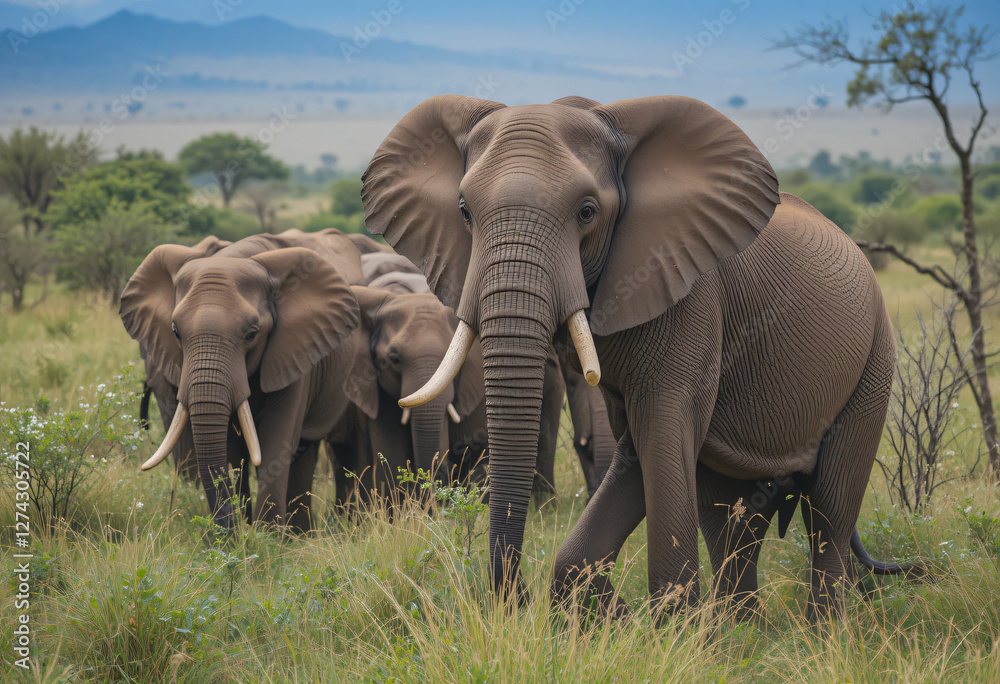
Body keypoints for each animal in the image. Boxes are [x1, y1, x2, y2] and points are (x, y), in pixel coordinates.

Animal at [121, 228, 366, 533]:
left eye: (252, 334)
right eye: (176, 332)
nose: (230, 533)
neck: (234, 257)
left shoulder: (295, 350)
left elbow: (276, 441)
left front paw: (267, 537)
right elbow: (232, 450)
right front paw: (243, 531)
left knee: (304, 447)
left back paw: (297, 534)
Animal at [360, 94, 918, 619]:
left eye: (587, 212)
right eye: (464, 213)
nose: (513, 602)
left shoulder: (690, 295)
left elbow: (660, 432)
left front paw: (672, 631)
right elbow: (634, 453)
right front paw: (628, 622)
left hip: (874, 358)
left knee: (829, 508)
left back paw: (821, 631)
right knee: (732, 516)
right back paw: (742, 632)